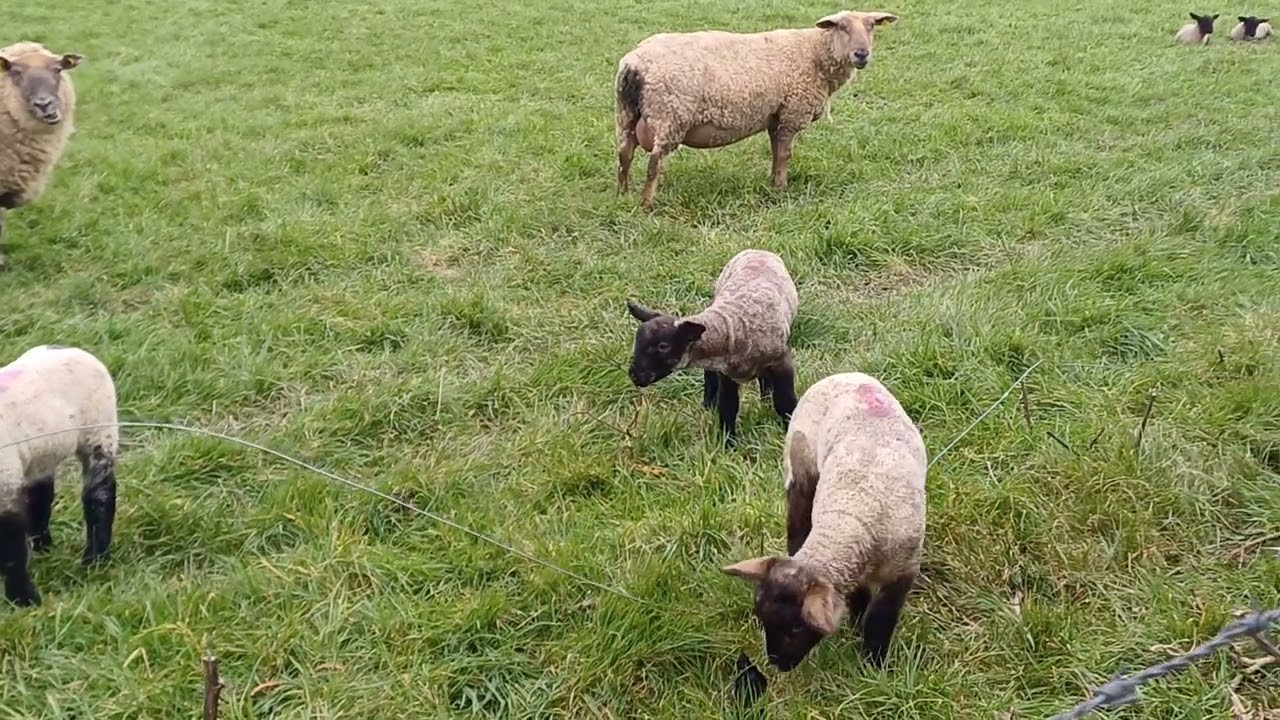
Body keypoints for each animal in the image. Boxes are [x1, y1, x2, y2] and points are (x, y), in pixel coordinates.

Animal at [0, 344, 119, 607]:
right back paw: (43, 545)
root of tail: (70, 347)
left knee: (100, 494)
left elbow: (11, 547)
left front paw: (24, 599)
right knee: (40, 497)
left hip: (100, 428)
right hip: (41, 454)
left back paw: (95, 558)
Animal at [614, 10, 900, 210]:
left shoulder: (776, 117)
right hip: (670, 116)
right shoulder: (791, 114)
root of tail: (635, 63)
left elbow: (776, 153)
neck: (814, 53)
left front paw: (773, 184)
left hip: (626, 115)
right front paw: (782, 189)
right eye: (842, 26)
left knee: (624, 155)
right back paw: (646, 205)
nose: (861, 54)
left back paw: (623, 195)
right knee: (654, 163)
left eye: (871, 26)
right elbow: (785, 155)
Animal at [624, 248, 799, 446]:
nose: (634, 375)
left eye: (663, 346)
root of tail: (757, 250)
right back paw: (709, 403)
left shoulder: (781, 362)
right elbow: (728, 407)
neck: (730, 325)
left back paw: (765, 399)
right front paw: (729, 444)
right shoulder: (726, 374)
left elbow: (785, 402)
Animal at [722, 372, 926, 671]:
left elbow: (880, 621)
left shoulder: (901, 570)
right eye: (762, 620)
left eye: (796, 629)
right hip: (801, 473)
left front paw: (874, 665)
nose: (777, 665)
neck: (850, 517)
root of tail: (843, 374)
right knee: (796, 530)